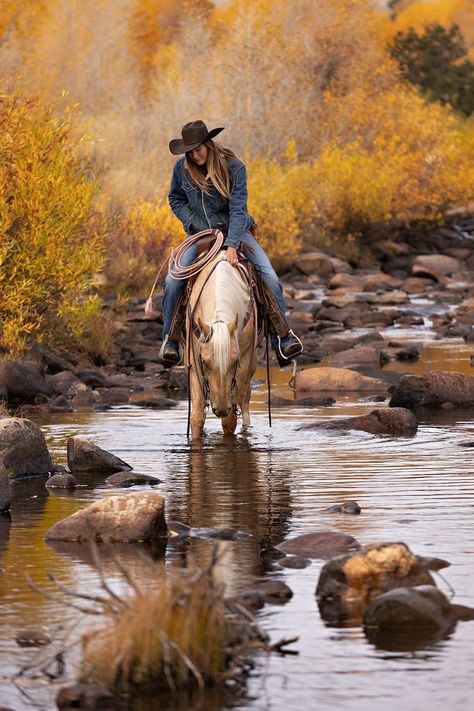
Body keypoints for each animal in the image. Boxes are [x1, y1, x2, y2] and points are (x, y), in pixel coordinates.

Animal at [186, 250, 260, 440]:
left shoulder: (244, 360)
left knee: (244, 401)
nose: (220, 409)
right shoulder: (193, 361)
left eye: (235, 362)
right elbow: (197, 416)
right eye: (205, 363)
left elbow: (230, 421)